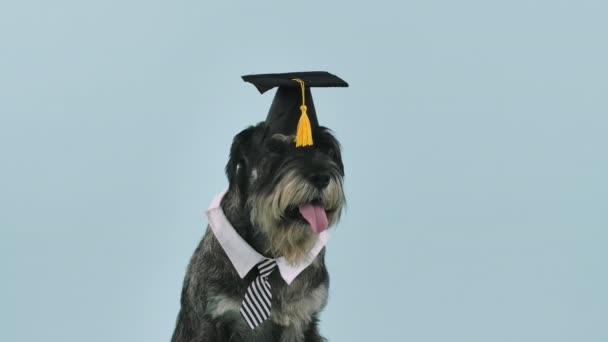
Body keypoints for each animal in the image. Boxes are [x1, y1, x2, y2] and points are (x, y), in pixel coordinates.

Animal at [171, 121, 346, 342]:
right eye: (276, 149)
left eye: (327, 150)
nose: (321, 177)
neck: (272, 253)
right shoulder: (211, 320)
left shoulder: (302, 319)